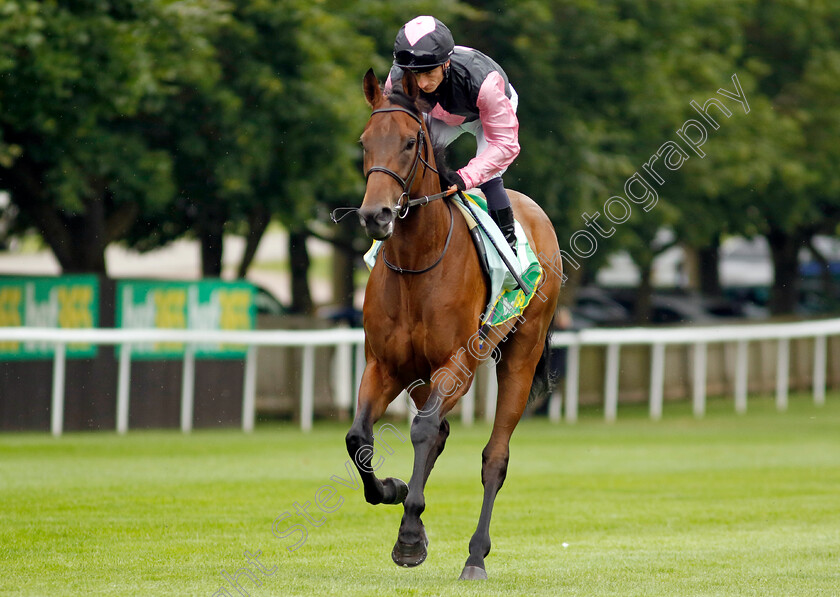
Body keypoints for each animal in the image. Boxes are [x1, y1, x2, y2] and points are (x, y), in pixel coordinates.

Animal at [344, 67, 560, 580]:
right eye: (365, 142)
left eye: (409, 142)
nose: (375, 214)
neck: (416, 264)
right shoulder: (385, 365)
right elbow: (359, 436)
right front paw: (392, 491)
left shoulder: (457, 364)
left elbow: (423, 431)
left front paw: (407, 536)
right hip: (420, 375)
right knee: (438, 434)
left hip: (521, 355)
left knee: (494, 457)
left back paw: (476, 555)